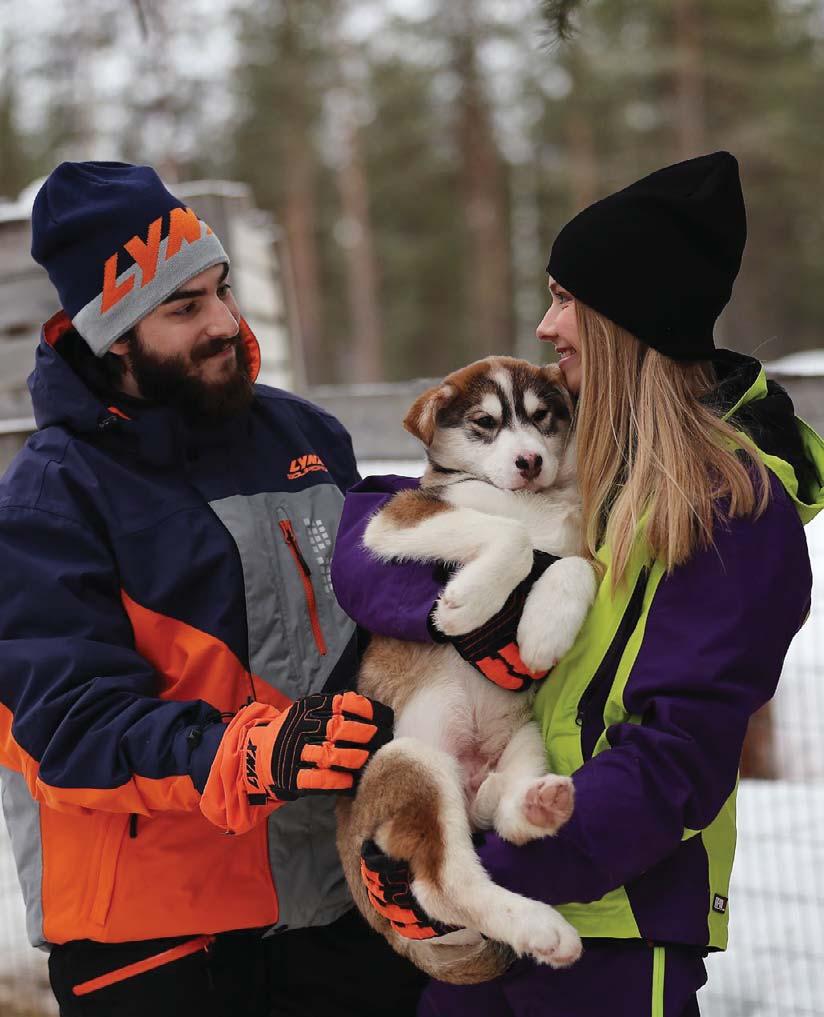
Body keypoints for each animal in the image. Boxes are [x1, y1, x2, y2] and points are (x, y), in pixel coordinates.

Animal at [337, 357, 594, 984]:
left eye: (543, 416)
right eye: (485, 423)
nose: (530, 462)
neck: (534, 501)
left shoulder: (583, 546)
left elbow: (573, 565)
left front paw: (542, 630)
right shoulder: (401, 517)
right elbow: (514, 535)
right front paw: (470, 604)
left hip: (524, 739)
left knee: (502, 821)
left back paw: (534, 803)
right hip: (411, 762)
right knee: (442, 885)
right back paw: (541, 928)